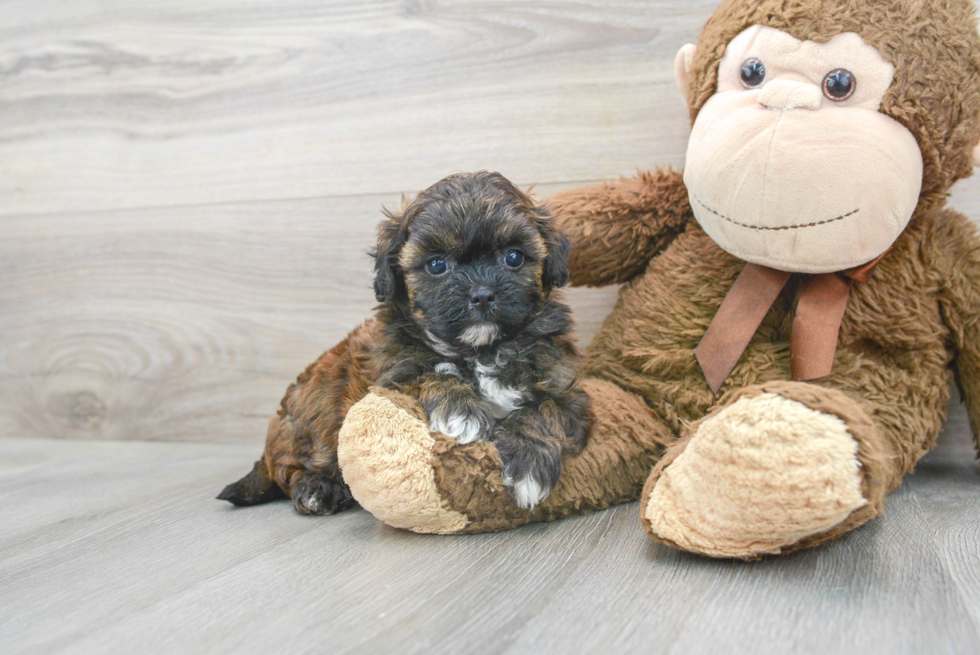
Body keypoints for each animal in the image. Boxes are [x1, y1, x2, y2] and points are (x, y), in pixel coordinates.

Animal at [220, 172, 588, 516]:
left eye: (513, 257)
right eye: (437, 264)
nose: (482, 294)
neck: (480, 350)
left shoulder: (567, 389)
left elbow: (545, 410)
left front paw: (528, 464)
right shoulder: (388, 381)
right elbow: (428, 373)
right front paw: (462, 410)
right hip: (318, 405)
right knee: (291, 470)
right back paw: (317, 490)